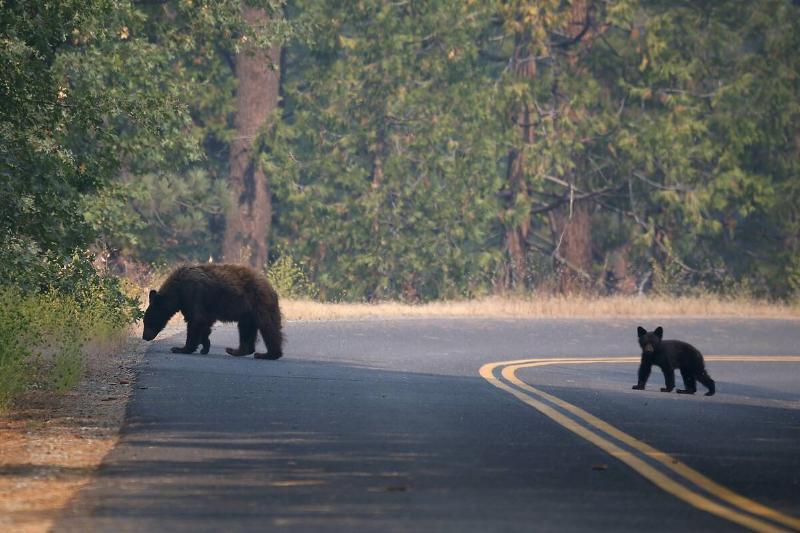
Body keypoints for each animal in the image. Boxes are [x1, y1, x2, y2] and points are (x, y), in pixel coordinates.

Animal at [142, 264, 283, 360]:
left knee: (269, 327)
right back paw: (237, 350)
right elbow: (204, 323)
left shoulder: (193, 294)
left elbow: (196, 320)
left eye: (148, 321)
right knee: (246, 328)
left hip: (260, 302)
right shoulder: (195, 304)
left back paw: (268, 354)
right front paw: (205, 346)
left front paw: (181, 348)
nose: (144, 337)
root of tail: (270, 286)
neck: (178, 291)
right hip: (248, 312)